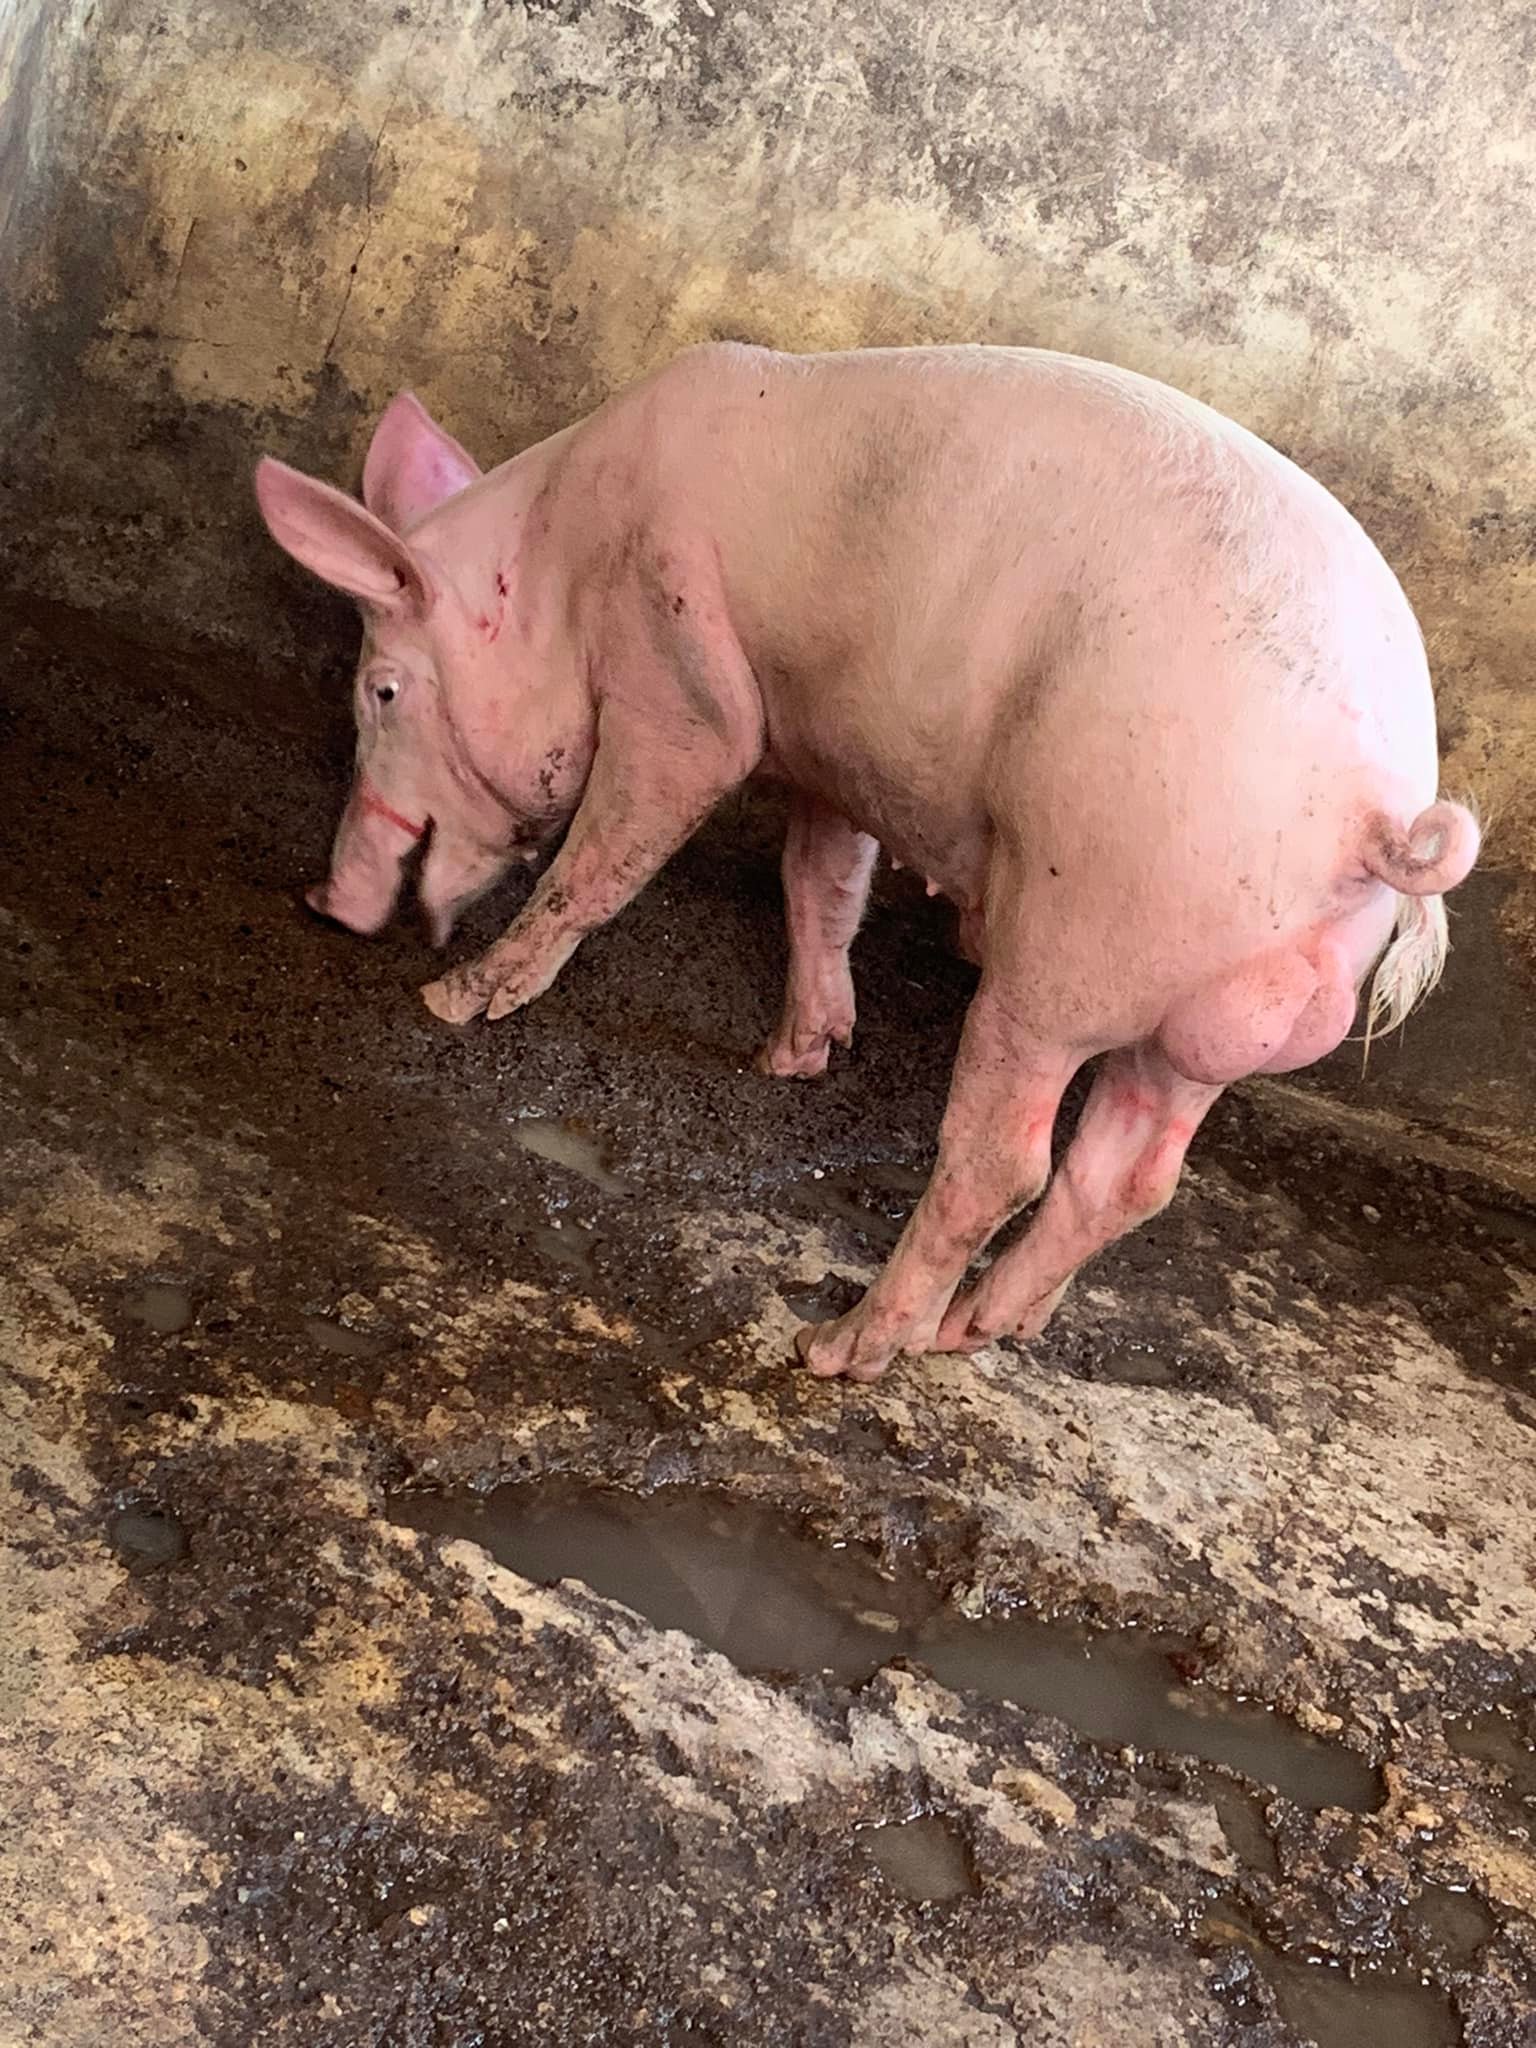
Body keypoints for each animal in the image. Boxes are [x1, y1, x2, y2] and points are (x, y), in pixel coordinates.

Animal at [255, 344, 1479, 1383]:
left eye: (382, 690)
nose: (323, 895)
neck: (561, 555)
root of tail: (1377, 813)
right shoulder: (832, 753)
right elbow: (821, 884)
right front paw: (792, 1060)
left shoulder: (681, 668)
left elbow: (613, 846)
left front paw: (451, 1000)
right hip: (1199, 1018)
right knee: (1131, 1175)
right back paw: (984, 1328)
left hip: (1086, 934)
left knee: (1004, 1162)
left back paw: (841, 1348)